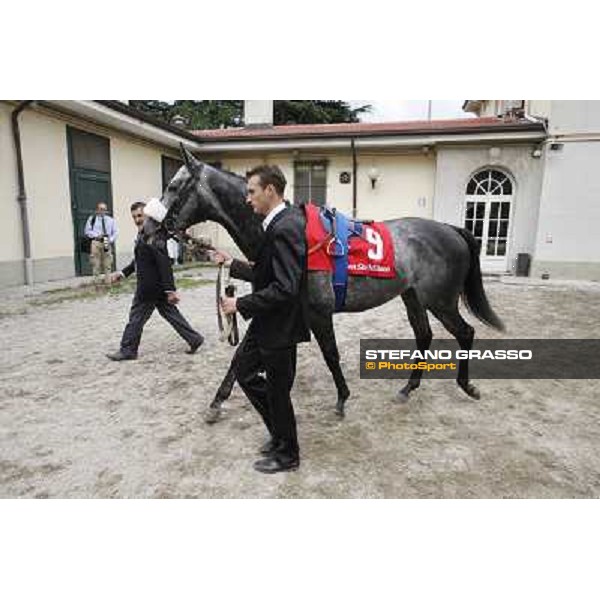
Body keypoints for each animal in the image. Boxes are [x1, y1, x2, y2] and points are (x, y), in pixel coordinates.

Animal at [143, 145, 504, 418]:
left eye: (173, 186)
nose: (147, 230)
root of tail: (452, 230)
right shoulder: (278, 308)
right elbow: (242, 354)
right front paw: (217, 401)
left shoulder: (317, 311)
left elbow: (330, 353)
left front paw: (343, 397)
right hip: (413, 296)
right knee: (424, 336)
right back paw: (408, 387)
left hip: (440, 300)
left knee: (465, 332)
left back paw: (466, 385)